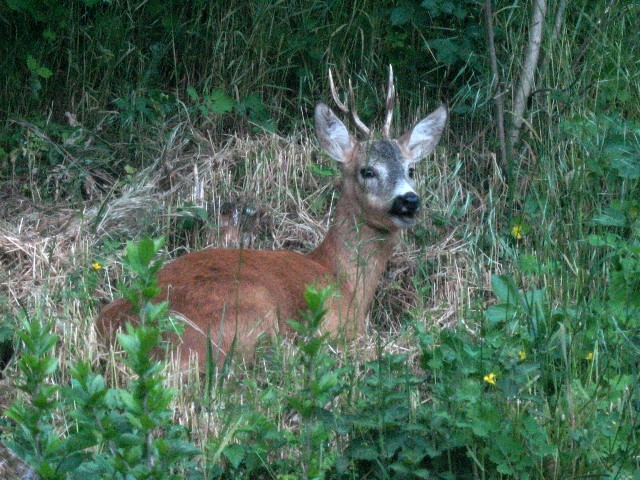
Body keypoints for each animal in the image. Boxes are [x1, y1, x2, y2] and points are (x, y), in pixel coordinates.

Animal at [97, 68, 448, 368]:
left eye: (411, 169)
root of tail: (124, 333)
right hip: (251, 312)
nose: (409, 201)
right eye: (367, 170)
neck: (344, 282)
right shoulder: (334, 328)